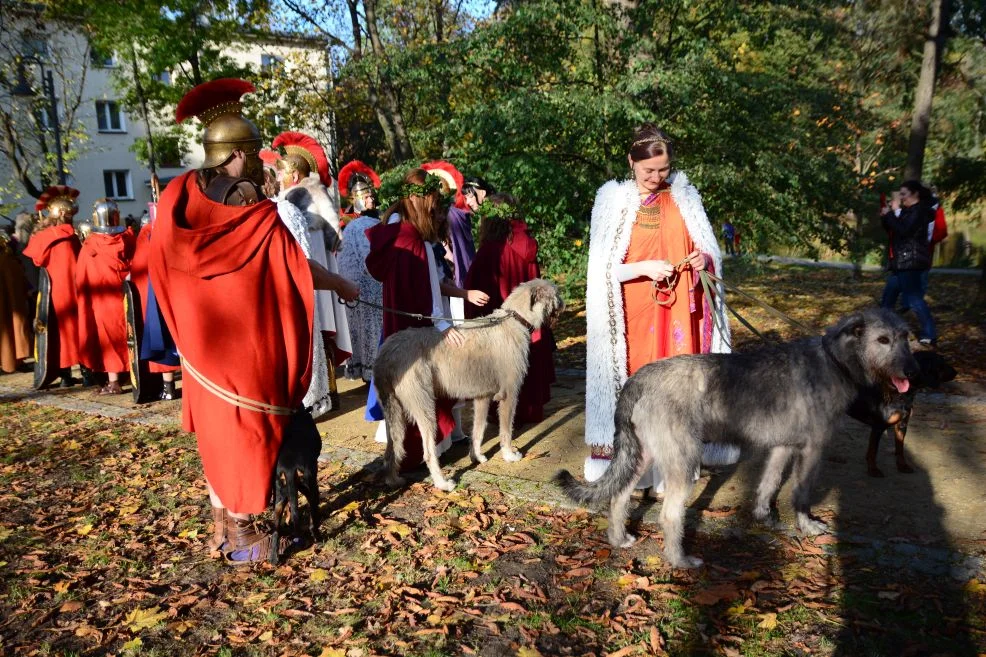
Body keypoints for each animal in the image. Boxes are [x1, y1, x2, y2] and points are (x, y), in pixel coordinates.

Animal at [270, 408, 322, 560]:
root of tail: (288, 468)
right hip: (309, 481)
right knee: (313, 511)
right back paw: (317, 535)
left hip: (280, 495)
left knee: (276, 530)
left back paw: (274, 558)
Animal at [374, 280, 560, 490]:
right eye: (556, 293)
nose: (563, 304)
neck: (514, 320)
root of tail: (386, 354)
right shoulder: (509, 394)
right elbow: (506, 429)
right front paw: (509, 454)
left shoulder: (482, 397)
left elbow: (478, 429)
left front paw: (477, 456)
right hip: (424, 406)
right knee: (428, 452)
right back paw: (442, 483)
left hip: (392, 411)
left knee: (392, 448)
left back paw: (393, 479)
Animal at [556, 308, 920, 568]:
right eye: (883, 340)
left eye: (906, 337)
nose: (912, 372)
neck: (835, 361)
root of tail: (641, 377)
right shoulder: (812, 449)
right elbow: (801, 494)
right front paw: (807, 526)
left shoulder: (783, 447)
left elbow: (769, 484)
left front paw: (765, 516)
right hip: (683, 460)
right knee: (669, 515)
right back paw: (680, 560)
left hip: (644, 453)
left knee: (619, 495)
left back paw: (619, 539)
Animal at [844, 348, 952, 476]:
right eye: (941, 364)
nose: (956, 372)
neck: (900, 393)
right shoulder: (878, 427)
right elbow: (873, 451)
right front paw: (873, 470)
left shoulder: (902, 425)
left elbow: (900, 448)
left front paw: (902, 466)